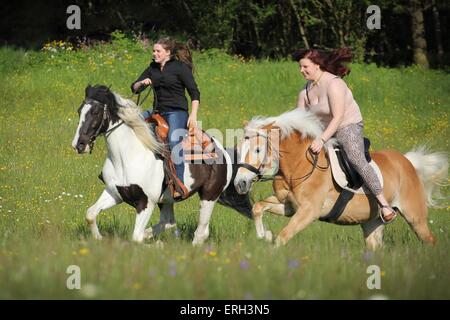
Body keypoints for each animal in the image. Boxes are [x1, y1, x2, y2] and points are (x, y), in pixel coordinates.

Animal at [72, 84, 251, 244]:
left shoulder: (146, 202)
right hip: (166, 200)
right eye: (79, 110)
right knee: (169, 222)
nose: (78, 145)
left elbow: (136, 237)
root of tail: (221, 149)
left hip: (209, 195)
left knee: (201, 232)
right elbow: (90, 214)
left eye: (95, 112)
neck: (128, 156)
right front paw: (99, 238)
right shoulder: (114, 192)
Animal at [234, 109, 448, 249]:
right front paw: (263, 235)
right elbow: (258, 207)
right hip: (372, 223)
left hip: (415, 217)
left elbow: (283, 237)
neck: (298, 166)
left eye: (258, 149)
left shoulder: (309, 211)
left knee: (430, 240)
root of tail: (408, 162)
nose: (240, 183)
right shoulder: (288, 206)